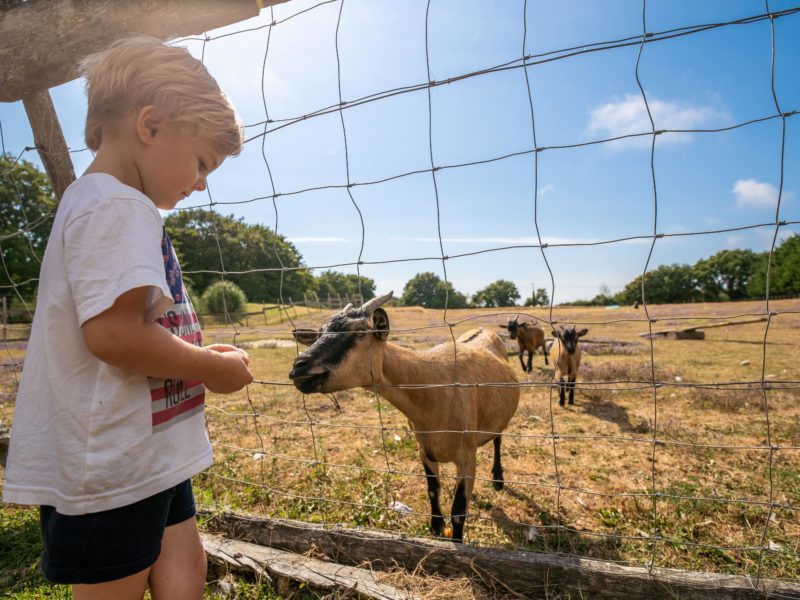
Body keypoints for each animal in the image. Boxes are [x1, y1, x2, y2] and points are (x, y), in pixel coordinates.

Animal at [288, 292, 520, 544]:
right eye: (319, 333)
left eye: (360, 332)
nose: (298, 366)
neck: (432, 388)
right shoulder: (424, 449)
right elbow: (433, 489)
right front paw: (436, 527)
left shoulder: (467, 457)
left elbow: (458, 510)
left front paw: (457, 542)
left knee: (498, 438)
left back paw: (498, 478)